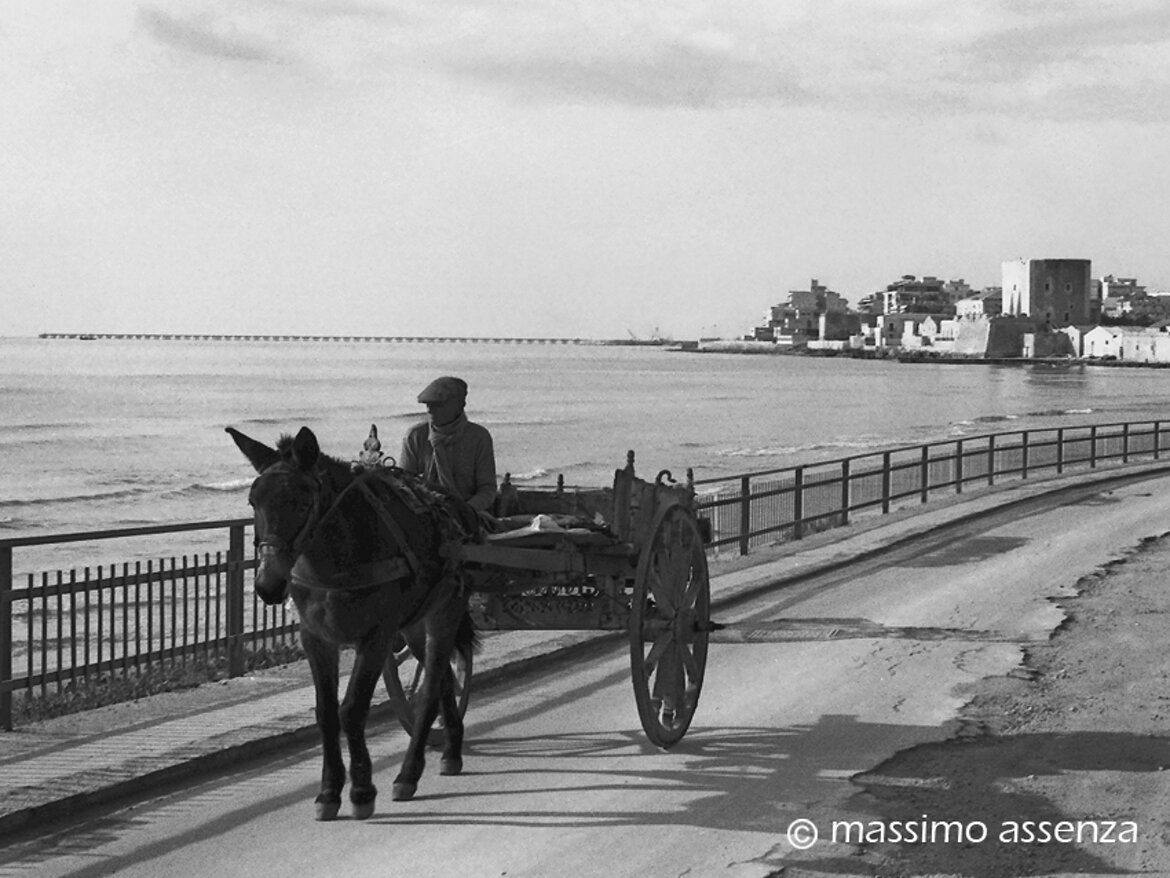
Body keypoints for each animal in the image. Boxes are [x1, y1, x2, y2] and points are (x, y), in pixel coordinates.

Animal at [227, 425, 478, 820]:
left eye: (302, 503)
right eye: (254, 502)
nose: (268, 585)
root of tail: (454, 505)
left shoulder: (377, 637)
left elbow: (352, 709)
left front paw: (361, 790)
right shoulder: (315, 639)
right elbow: (327, 713)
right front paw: (329, 791)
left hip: (445, 611)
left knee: (431, 688)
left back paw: (409, 772)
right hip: (415, 623)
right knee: (442, 681)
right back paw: (451, 748)